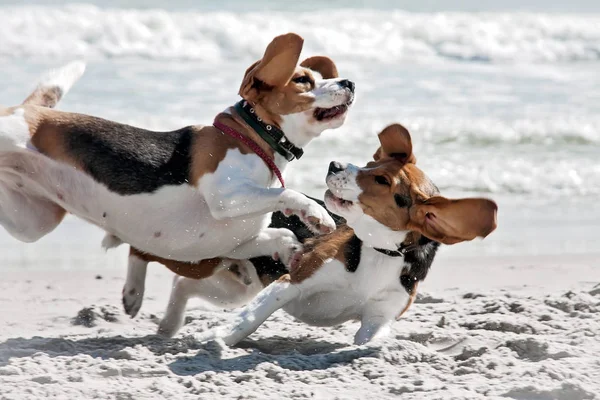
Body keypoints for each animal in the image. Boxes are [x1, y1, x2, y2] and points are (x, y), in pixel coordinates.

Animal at [0, 32, 354, 276]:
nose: (349, 82)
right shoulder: (225, 197)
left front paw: (295, 250)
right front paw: (317, 214)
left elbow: (282, 233)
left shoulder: (237, 242)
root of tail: (26, 110)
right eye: (303, 80)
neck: (255, 137)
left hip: (32, 223)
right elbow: (288, 192)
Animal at [177, 123, 496, 346]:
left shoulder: (379, 318)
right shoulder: (292, 280)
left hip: (232, 286)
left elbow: (370, 341)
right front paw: (217, 337)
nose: (335, 165)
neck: (379, 253)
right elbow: (251, 316)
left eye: (382, 180)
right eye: (370, 163)